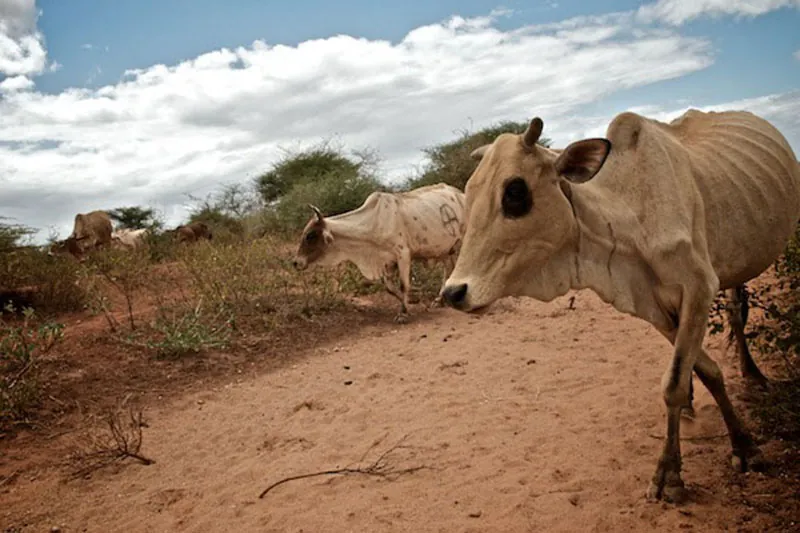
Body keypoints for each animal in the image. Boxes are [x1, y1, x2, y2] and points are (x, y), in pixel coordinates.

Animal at [292, 183, 466, 323]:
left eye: (310, 235)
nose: (295, 262)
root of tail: (460, 194)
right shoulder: (387, 261)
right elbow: (389, 288)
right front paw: (411, 302)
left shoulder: (403, 254)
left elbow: (403, 285)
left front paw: (403, 313)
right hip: (445, 250)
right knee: (448, 269)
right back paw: (440, 300)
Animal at [440, 110, 800, 504]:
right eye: (470, 194)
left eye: (515, 193)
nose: (454, 292)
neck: (630, 218)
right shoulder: (654, 305)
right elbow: (703, 370)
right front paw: (723, 439)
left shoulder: (699, 287)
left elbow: (673, 383)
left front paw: (682, 471)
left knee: (737, 311)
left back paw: (753, 373)